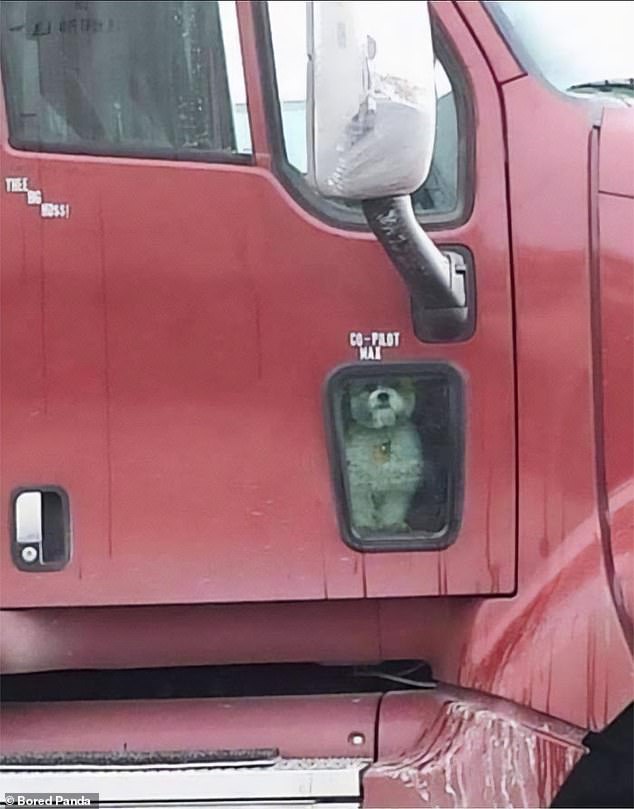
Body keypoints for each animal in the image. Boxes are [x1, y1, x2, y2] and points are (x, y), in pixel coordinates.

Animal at [344, 378, 422, 532]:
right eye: (369, 386)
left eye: (395, 384)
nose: (383, 395)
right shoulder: (358, 481)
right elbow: (361, 505)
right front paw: (365, 524)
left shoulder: (399, 483)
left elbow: (394, 506)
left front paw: (393, 523)